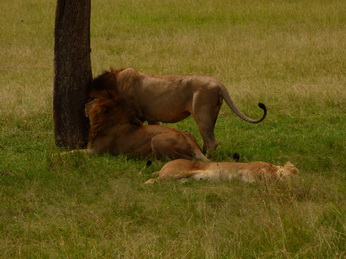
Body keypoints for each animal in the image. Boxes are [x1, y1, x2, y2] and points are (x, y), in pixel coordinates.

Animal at [79, 97, 208, 161]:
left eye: (92, 102)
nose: (84, 104)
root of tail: (190, 140)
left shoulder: (96, 152)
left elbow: (74, 152)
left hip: (156, 140)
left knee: (187, 159)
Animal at [90, 68, 268, 156]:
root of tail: (217, 82)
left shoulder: (135, 114)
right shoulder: (152, 116)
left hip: (202, 113)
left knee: (212, 142)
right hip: (211, 114)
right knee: (207, 139)